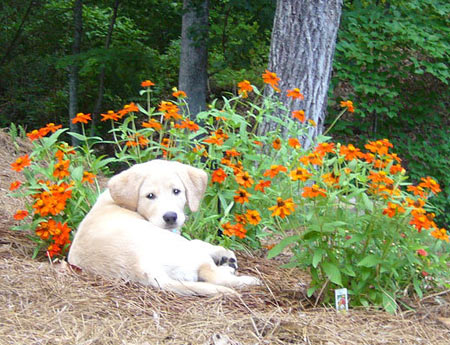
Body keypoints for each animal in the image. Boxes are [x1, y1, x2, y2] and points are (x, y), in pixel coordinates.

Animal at [69, 160, 260, 294]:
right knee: (213, 274)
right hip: (182, 249)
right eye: (150, 196)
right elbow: (197, 242)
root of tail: (144, 270)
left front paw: (224, 254)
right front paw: (223, 254)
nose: (170, 217)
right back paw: (237, 274)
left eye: (176, 191)